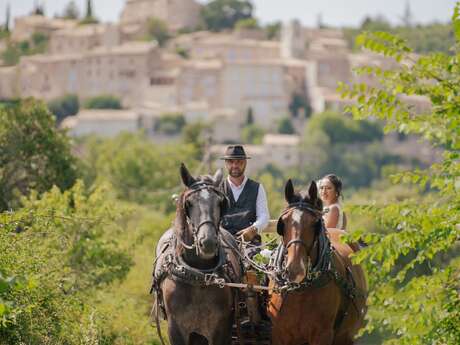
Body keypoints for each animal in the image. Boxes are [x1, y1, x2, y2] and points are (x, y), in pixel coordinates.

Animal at [153, 164, 243, 344]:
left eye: (220, 202)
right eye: (189, 203)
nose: (207, 242)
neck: (198, 276)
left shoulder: (222, 329)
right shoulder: (175, 329)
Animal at [268, 179, 364, 344]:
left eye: (315, 223)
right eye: (283, 223)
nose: (295, 269)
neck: (301, 290)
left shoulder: (322, 334)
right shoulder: (278, 333)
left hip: (346, 336)